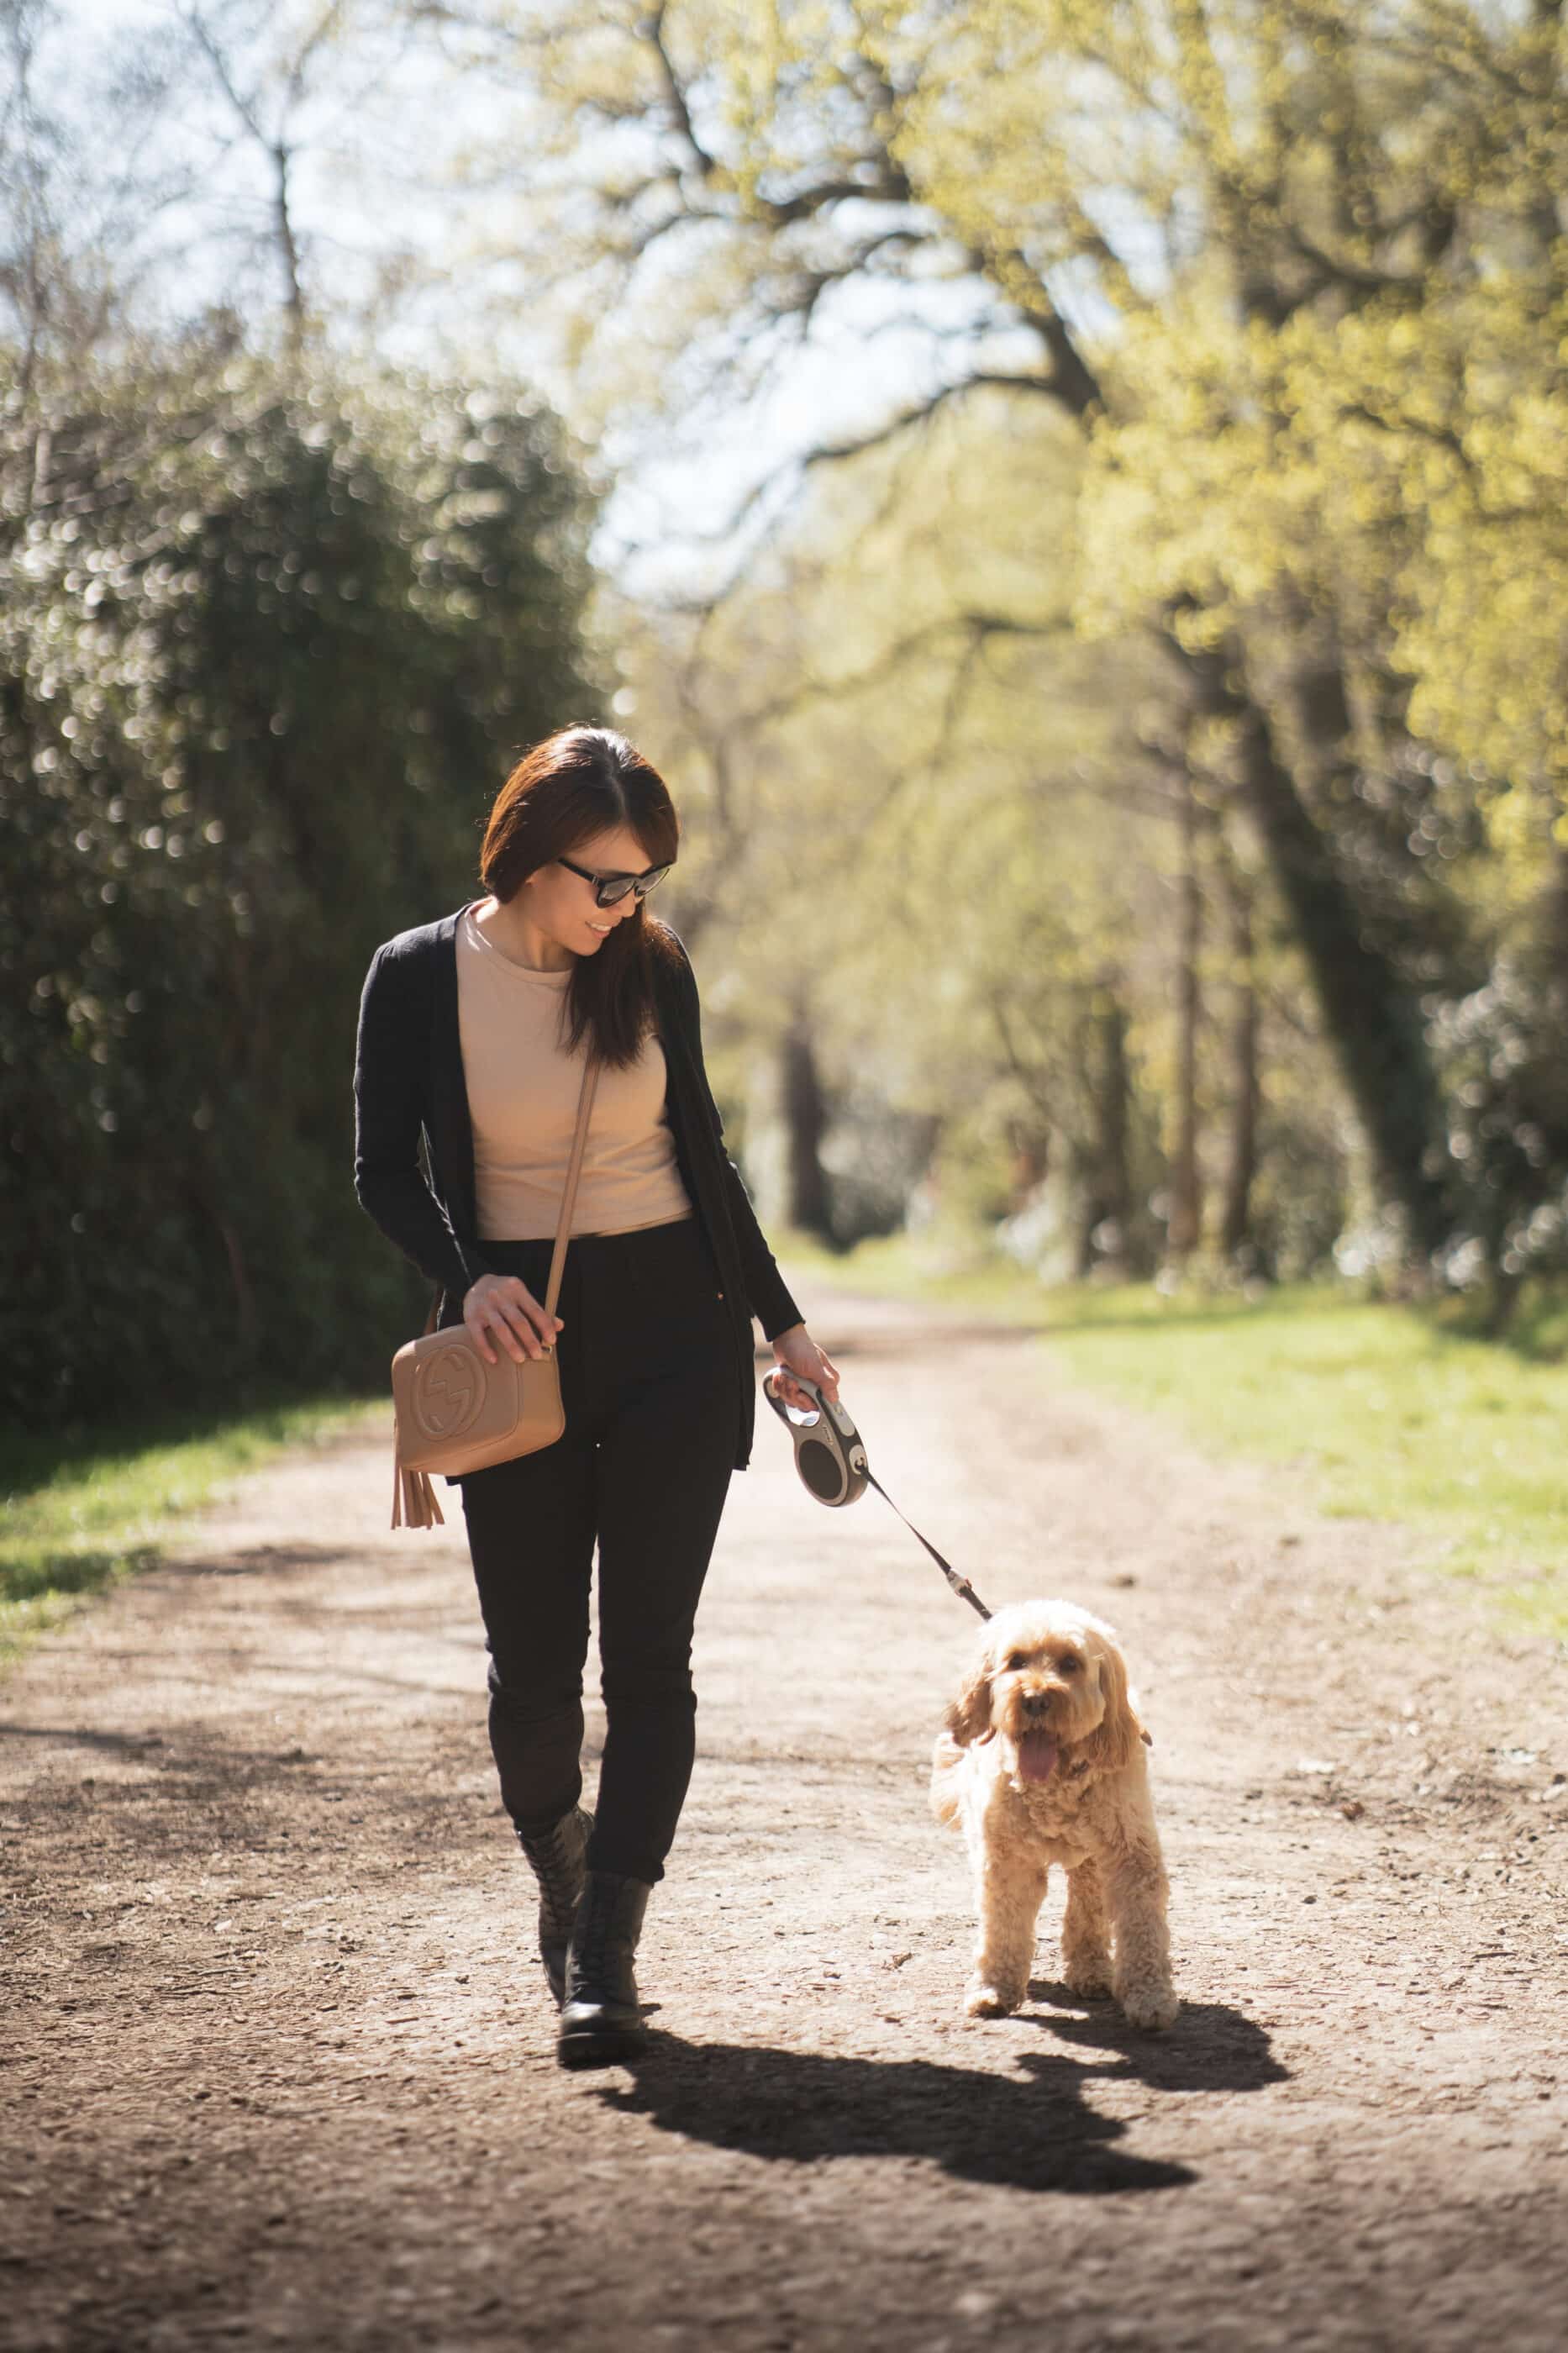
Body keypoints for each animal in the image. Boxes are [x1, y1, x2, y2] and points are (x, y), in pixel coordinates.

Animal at [927, 1609, 1172, 2033]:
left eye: (1070, 1664)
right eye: (1016, 1661)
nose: (1036, 1700)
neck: (1054, 1780)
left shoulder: (1131, 1856)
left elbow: (1143, 1928)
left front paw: (1150, 1998)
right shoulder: (1007, 1861)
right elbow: (1004, 1927)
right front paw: (994, 1989)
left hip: (1092, 1858)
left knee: (1087, 1907)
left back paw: (1091, 1970)